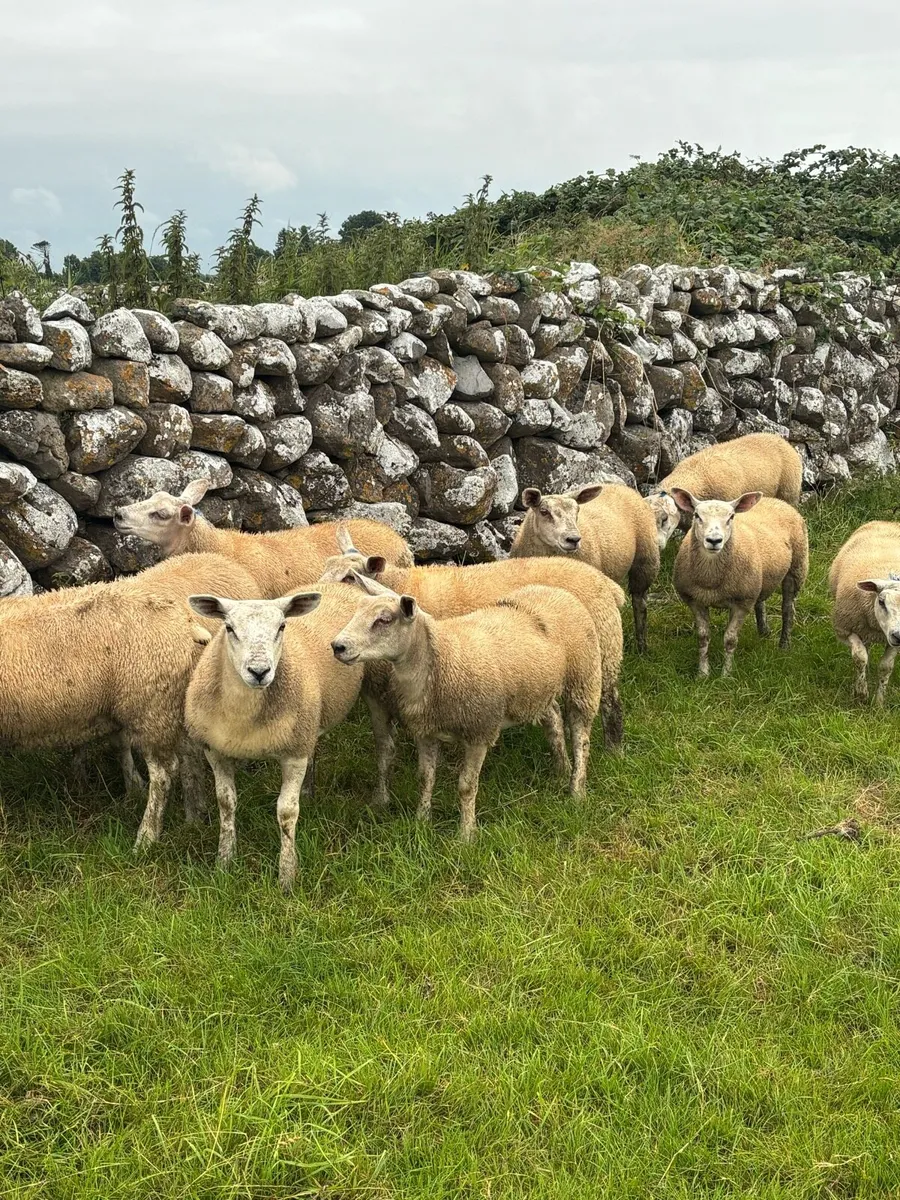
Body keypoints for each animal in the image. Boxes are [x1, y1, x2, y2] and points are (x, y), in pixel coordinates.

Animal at [184, 586, 368, 890]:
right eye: (229, 628)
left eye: (282, 626)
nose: (259, 671)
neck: (244, 718)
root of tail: (340, 585)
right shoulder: (215, 750)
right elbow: (226, 803)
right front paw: (224, 862)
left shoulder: (294, 754)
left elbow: (286, 813)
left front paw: (287, 877)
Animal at [331, 575, 603, 841]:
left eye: (384, 620)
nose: (337, 646)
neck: (441, 658)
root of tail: (558, 592)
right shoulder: (426, 731)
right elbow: (425, 778)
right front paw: (421, 821)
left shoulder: (479, 730)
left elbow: (466, 786)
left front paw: (466, 835)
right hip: (538, 689)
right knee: (554, 719)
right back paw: (561, 769)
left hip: (584, 679)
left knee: (581, 738)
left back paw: (576, 790)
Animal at [511, 482, 660, 653]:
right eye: (544, 511)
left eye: (577, 510)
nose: (573, 539)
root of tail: (621, 486)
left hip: (646, 560)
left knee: (639, 603)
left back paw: (641, 647)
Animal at [671, 489, 808, 678]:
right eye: (697, 515)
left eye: (731, 517)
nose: (714, 540)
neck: (711, 580)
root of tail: (777, 501)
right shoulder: (695, 601)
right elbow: (703, 637)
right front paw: (703, 674)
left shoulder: (742, 603)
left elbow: (730, 639)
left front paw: (726, 675)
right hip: (758, 579)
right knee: (760, 602)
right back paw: (763, 631)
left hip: (797, 568)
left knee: (788, 609)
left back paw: (784, 645)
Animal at [828, 521, 900, 705]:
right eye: (881, 601)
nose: (898, 635)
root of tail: (886, 522)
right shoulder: (845, 629)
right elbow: (860, 657)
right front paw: (861, 694)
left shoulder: (894, 642)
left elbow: (885, 667)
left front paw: (879, 703)